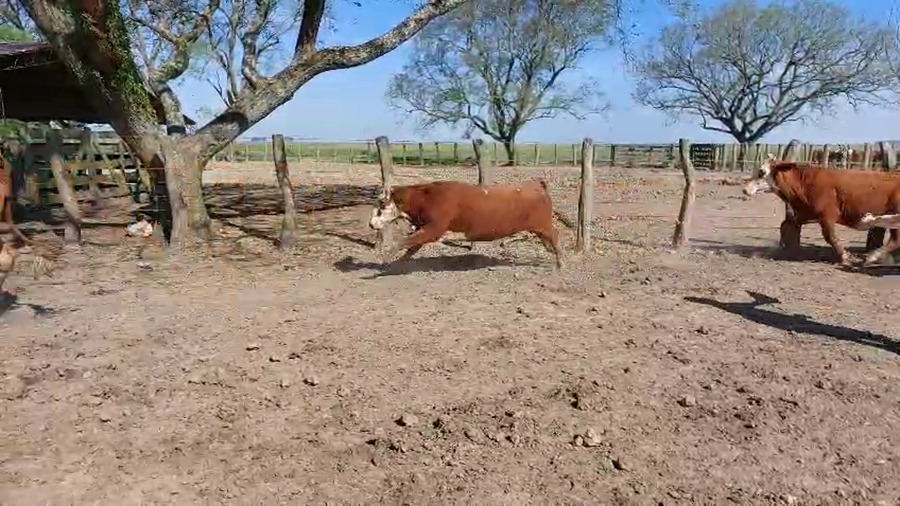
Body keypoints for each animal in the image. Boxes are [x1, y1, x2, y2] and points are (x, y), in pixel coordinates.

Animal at [368, 179, 564, 269]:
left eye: (381, 206)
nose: (371, 224)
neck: (427, 197)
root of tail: (537, 186)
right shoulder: (427, 229)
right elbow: (412, 247)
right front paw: (399, 262)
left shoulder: (435, 228)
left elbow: (404, 241)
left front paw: (385, 257)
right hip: (539, 229)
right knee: (549, 240)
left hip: (544, 225)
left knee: (555, 236)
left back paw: (560, 262)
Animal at [743, 154, 900, 266]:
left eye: (761, 172)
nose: (745, 190)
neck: (806, 183)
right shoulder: (805, 214)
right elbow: (786, 225)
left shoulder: (827, 216)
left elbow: (830, 237)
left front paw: (845, 257)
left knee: (895, 241)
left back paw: (872, 257)